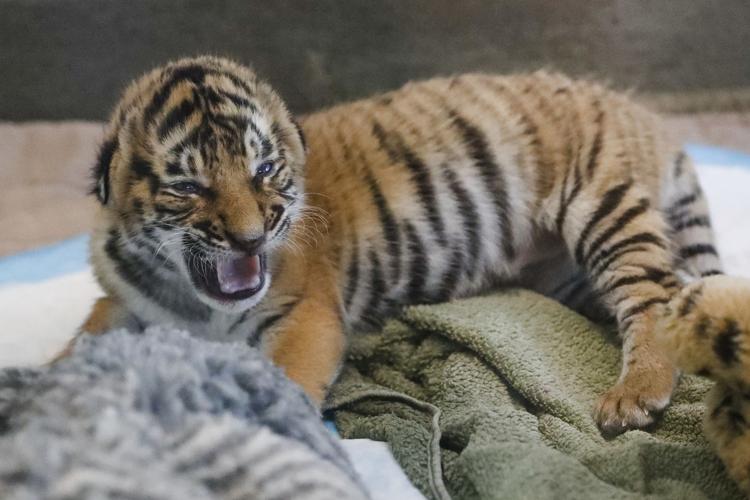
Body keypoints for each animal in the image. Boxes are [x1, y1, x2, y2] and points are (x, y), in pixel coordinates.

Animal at [71, 56, 749, 484]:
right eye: (188, 186)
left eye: (263, 170)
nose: (251, 236)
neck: (193, 297)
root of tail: (644, 114)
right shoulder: (124, 304)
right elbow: (81, 344)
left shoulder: (307, 313)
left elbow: (285, 379)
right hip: (563, 273)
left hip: (603, 203)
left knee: (656, 298)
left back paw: (633, 397)